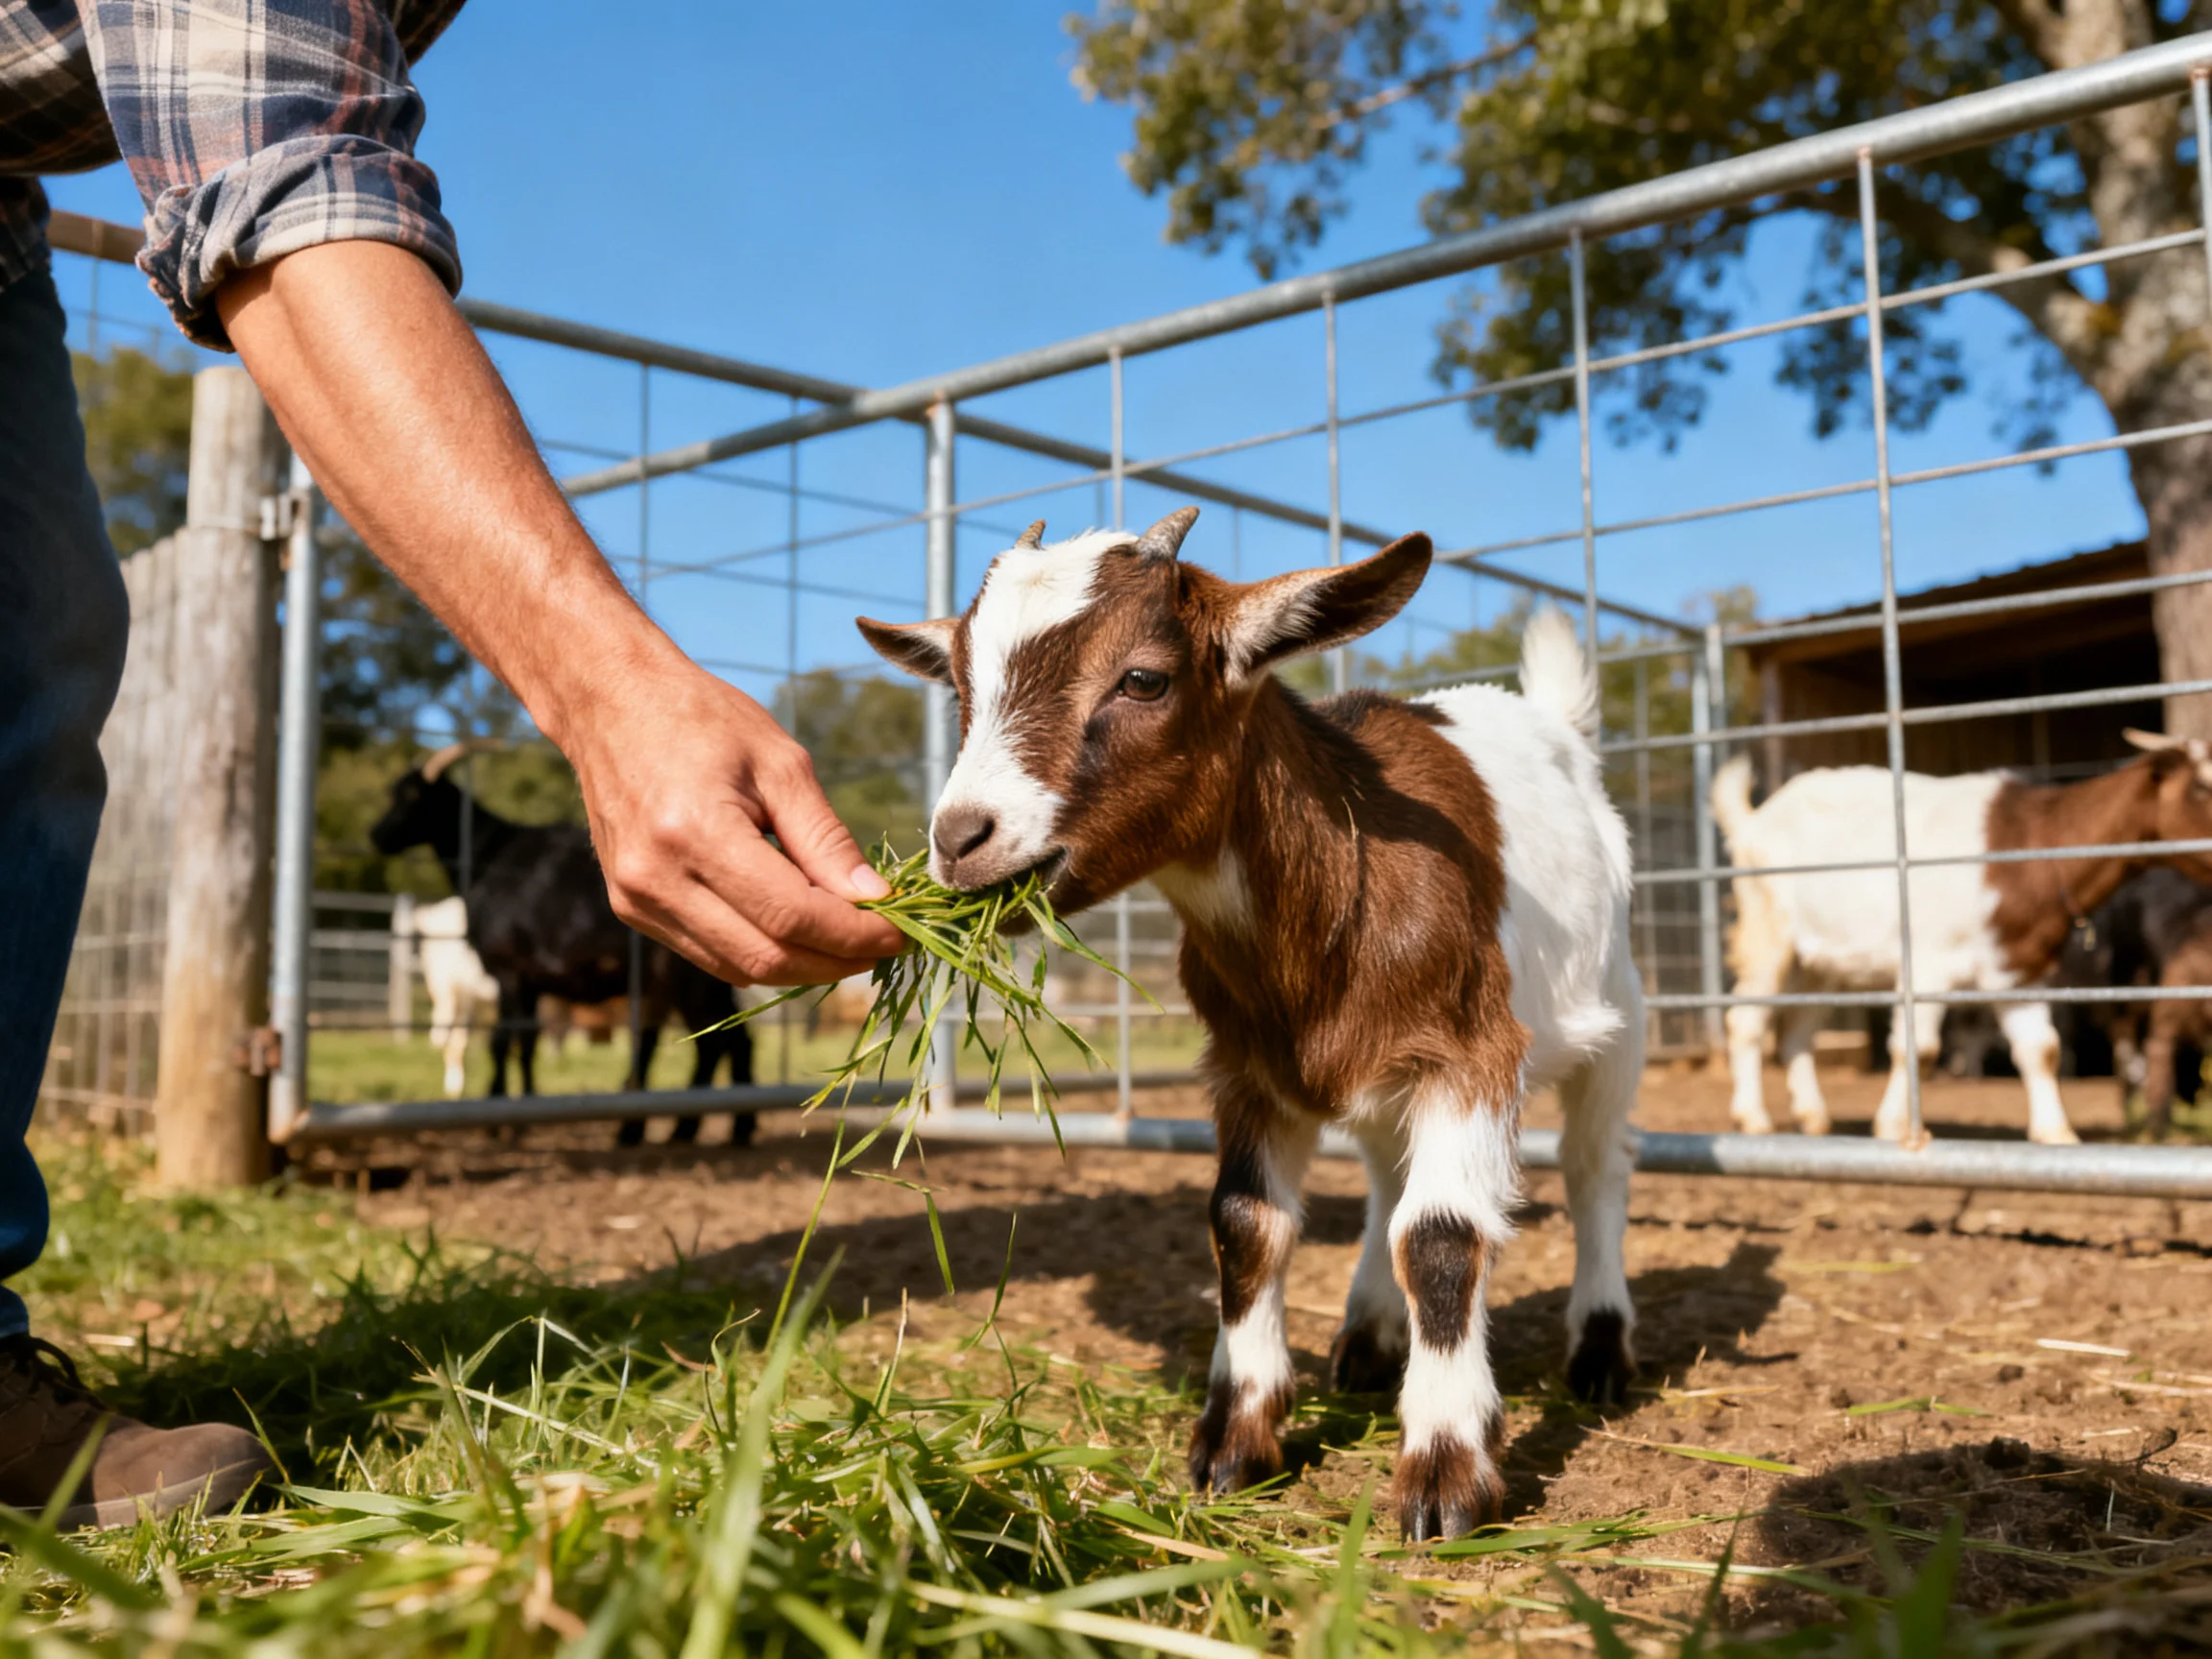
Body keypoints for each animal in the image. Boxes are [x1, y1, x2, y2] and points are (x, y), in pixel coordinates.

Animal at [369, 742, 756, 1147]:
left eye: (412, 796)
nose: (376, 834)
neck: (488, 857)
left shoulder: (508, 969)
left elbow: (502, 1041)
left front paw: (497, 1118)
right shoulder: (531, 982)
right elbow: (527, 1042)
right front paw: (521, 1113)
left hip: (689, 978)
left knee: (712, 1041)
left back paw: (679, 1128)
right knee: (729, 1038)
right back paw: (721, 1128)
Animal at [858, 509, 1642, 1540]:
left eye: (1144, 678)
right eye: (962, 688)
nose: (959, 840)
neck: (1341, 879)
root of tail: (1552, 724)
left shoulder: (1468, 1054)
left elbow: (1439, 1237)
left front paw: (1443, 1473)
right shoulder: (1246, 1069)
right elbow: (1245, 1226)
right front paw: (1236, 1441)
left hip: (1616, 1011)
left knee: (1594, 1169)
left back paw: (1599, 1353)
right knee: (1386, 1177)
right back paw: (1366, 1340)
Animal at [1711, 737, 2212, 1145]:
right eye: (2202, 786)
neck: (2030, 845)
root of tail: (1755, 819)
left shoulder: (2016, 970)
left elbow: (2042, 1050)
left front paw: (2057, 1133)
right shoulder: (1928, 961)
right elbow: (1919, 1048)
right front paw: (1894, 1126)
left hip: (1822, 963)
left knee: (1797, 1029)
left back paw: (1813, 1117)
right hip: (1767, 927)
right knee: (1746, 1019)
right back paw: (1753, 1117)